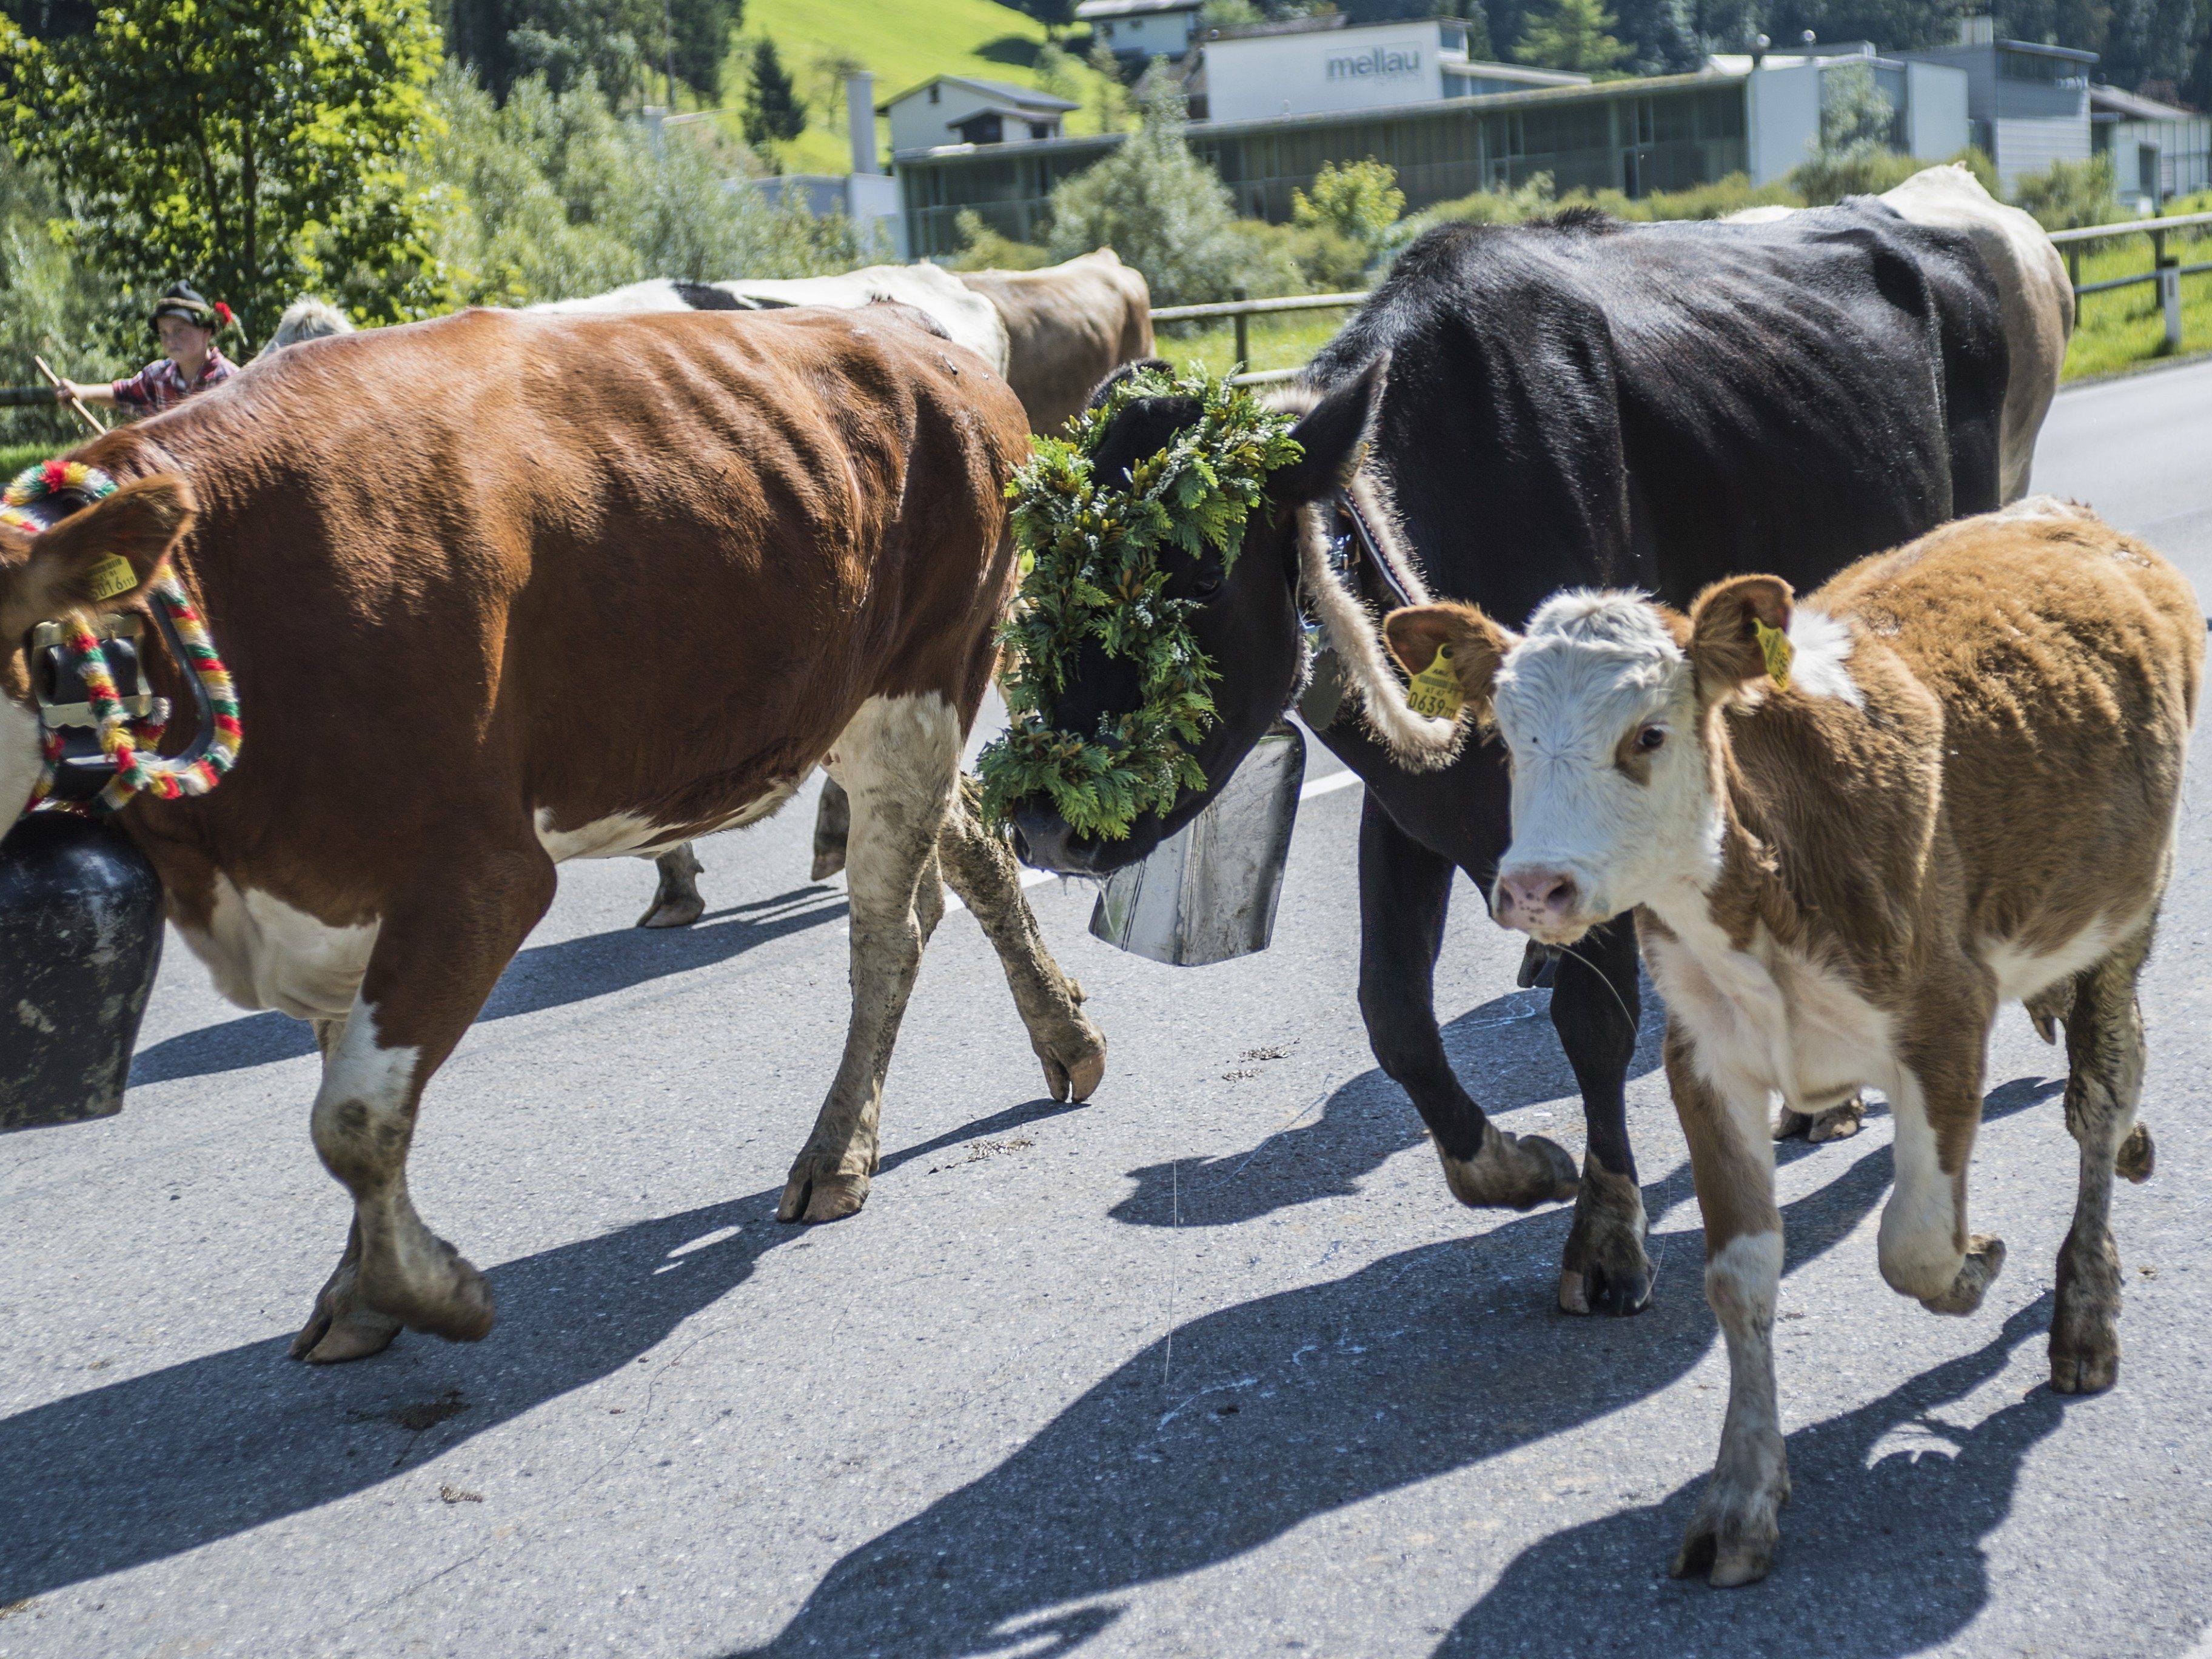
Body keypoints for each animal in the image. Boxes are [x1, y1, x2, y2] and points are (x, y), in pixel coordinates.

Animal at [0, 305, 1106, 1371]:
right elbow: (347, 1090)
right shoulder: (324, 890)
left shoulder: (477, 876)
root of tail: (938, 355)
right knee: (972, 848)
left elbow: (351, 1119)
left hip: (924, 684)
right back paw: (1066, 1037)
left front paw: (432, 1293)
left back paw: (837, 1153)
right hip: (841, 702)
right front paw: (357, 1292)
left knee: (888, 934)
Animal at [1013, 181, 2061, 1318]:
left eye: (1200, 576)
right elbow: (1392, 1010)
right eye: (1034, 582)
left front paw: (1605, 1231)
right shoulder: (1414, 799)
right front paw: (1508, 1167)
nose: (1039, 820)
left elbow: (1592, 1021)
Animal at [1389, 500, 2203, 1592]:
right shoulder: (1704, 1061)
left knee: (2100, 1093)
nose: (1531, 889)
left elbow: (1914, 1246)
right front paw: (1740, 1500)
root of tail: (2055, 513)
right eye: (1509, 742)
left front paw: (1976, 1263)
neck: (1766, 873)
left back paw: (2083, 1304)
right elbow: (1739, 1279)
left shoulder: (1945, 1019)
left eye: (1648, 733)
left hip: (2127, 911)